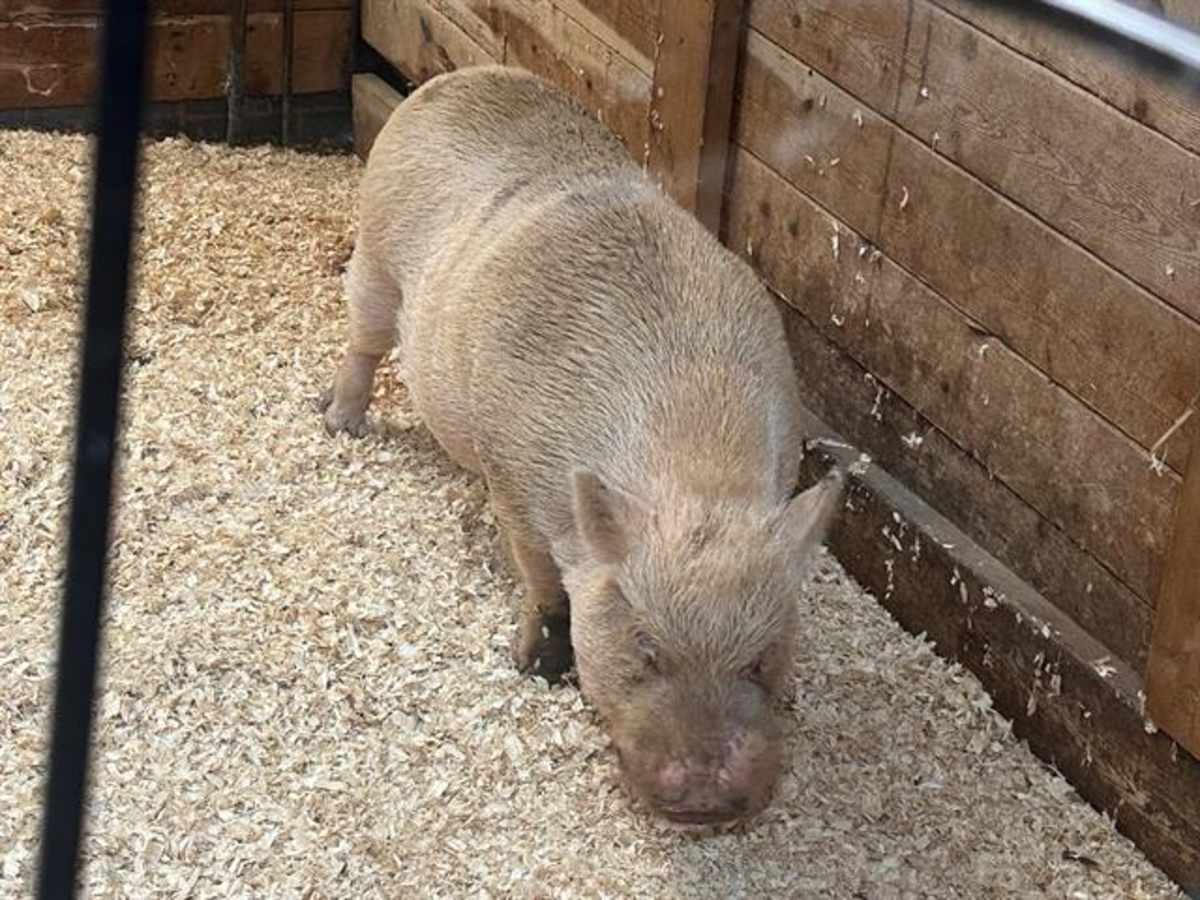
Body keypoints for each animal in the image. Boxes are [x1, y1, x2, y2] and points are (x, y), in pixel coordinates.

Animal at [320, 64, 844, 828]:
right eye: (646, 647)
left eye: (762, 658)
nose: (709, 799)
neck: (695, 475)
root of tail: (459, 75)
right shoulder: (510, 476)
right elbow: (542, 581)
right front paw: (533, 665)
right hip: (377, 251)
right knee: (363, 339)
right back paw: (337, 422)